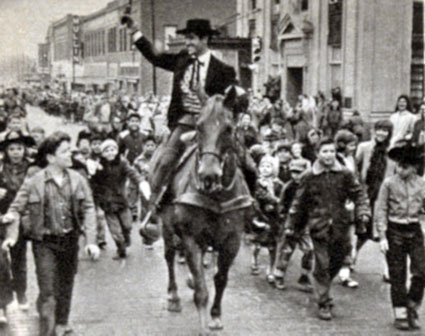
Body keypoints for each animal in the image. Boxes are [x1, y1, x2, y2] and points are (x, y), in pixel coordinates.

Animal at [157, 88, 253, 334]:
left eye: (228, 128)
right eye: (199, 127)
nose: (208, 176)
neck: (216, 196)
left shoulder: (231, 241)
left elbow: (220, 279)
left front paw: (216, 316)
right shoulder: (191, 238)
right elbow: (202, 289)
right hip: (167, 225)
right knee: (169, 255)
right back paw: (173, 296)